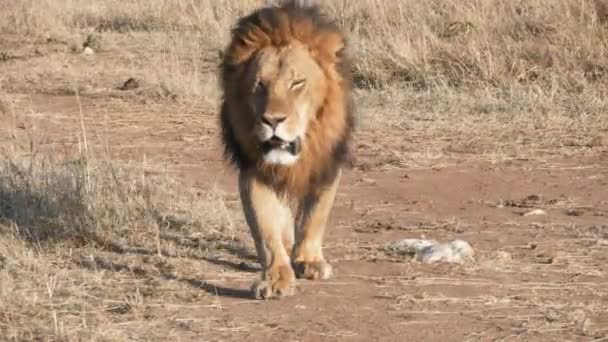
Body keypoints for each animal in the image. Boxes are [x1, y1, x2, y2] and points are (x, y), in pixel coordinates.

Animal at [218, 0, 354, 300]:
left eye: (297, 83)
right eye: (259, 84)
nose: (272, 120)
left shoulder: (327, 163)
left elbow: (316, 215)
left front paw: (309, 261)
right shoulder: (254, 169)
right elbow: (266, 229)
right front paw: (275, 278)